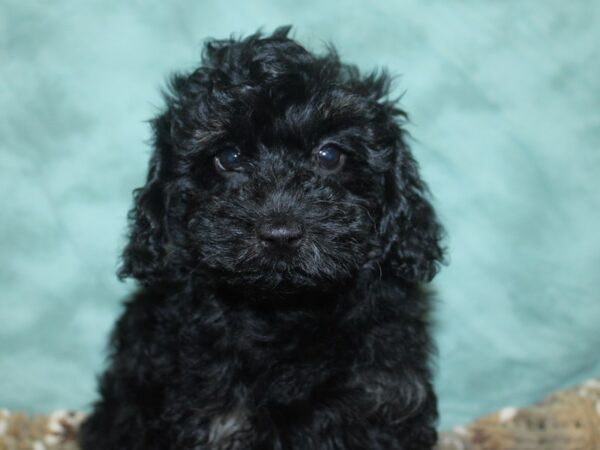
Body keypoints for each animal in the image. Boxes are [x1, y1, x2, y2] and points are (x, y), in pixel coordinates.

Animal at [78, 26, 446, 448]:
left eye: (330, 155)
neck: (283, 312)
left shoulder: (383, 397)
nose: (281, 233)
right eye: (229, 158)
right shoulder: (216, 419)